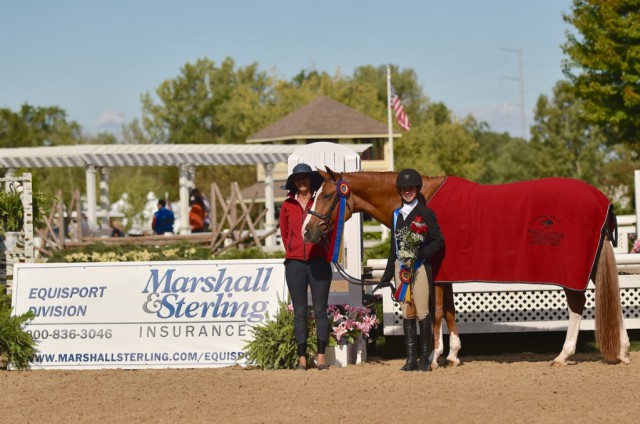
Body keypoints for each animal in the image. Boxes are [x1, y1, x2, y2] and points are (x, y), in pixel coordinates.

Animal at [304, 169, 632, 368]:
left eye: (328, 195)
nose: (308, 231)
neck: (420, 201)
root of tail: (604, 201)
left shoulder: (434, 273)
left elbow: (436, 312)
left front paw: (433, 357)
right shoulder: (447, 275)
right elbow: (450, 311)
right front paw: (453, 356)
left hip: (572, 272)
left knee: (578, 304)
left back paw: (564, 355)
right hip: (592, 264)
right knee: (611, 298)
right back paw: (624, 351)